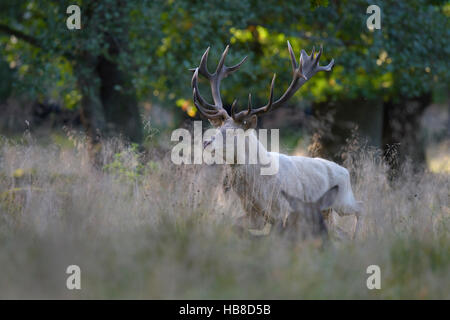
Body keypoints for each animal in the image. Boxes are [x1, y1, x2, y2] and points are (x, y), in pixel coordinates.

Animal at [190, 40, 362, 240]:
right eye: (218, 129)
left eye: (234, 133)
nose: (206, 143)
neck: (260, 188)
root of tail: (346, 171)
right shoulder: (254, 214)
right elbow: (234, 225)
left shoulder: (284, 210)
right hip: (328, 214)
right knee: (340, 232)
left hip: (343, 201)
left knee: (361, 208)